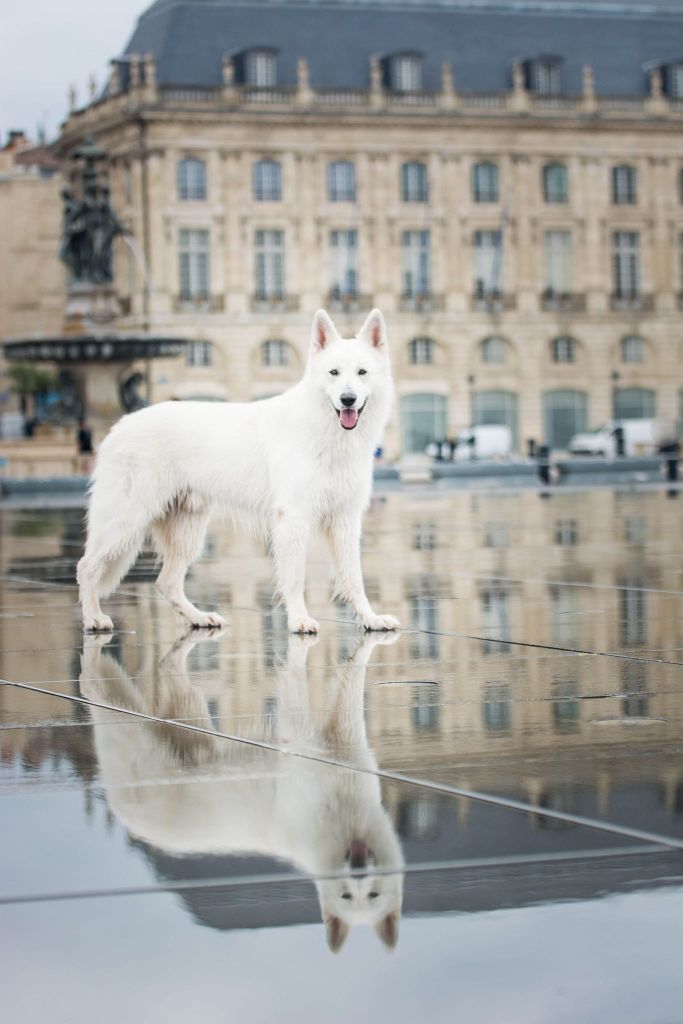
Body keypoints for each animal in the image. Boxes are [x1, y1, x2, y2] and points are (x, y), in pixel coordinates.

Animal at [76, 307, 401, 634]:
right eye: (334, 373)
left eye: (362, 373)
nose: (348, 399)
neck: (326, 431)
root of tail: (119, 426)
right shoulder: (294, 520)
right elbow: (295, 577)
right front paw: (299, 619)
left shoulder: (345, 520)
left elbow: (354, 578)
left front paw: (370, 618)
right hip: (125, 522)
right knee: (86, 567)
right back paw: (93, 618)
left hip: (186, 531)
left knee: (166, 583)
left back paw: (198, 618)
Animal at [83, 630, 409, 950]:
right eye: (345, 896)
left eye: (374, 894)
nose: (358, 867)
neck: (345, 820)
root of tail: (122, 811)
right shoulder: (301, 735)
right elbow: (298, 683)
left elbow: (352, 675)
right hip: (130, 724)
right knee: (93, 685)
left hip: (189, 718)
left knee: (164, 672)